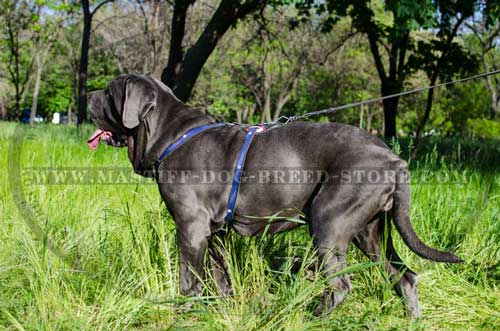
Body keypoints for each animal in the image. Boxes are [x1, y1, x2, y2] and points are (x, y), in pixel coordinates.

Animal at [87, 74, 460, 320]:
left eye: (109, 91)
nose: (87, 95)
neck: (169, 133)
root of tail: (393, 158)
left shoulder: (190, 227)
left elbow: (188, 280)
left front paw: (183, 314)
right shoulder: (215, 233)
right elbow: (221, 277)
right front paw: (224, 310)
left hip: (329, 223)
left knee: (340, 286)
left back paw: (311, 318)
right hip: (370, 232)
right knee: (404, 276)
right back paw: (411, 320)